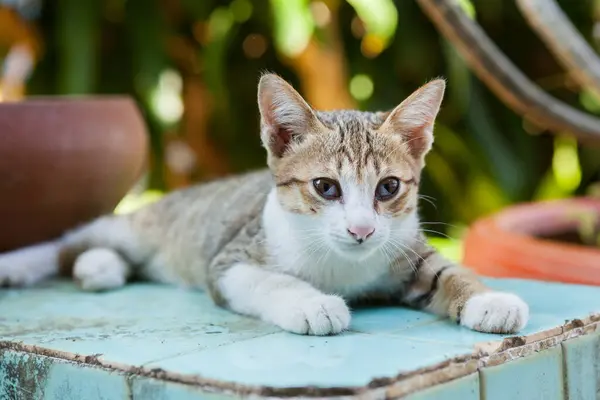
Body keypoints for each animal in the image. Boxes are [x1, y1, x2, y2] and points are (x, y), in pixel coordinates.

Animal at [0, 74, 528, 334]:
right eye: (326, 188)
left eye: (388, 188)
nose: (361, 231)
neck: (340, 262)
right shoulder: (229, 260)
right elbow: (267, 280)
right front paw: (313, 303)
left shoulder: (404, 248)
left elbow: (445, 271)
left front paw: (486, 299)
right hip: (140, 224)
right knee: (68, 241)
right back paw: (24, 264)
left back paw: (99, 267)